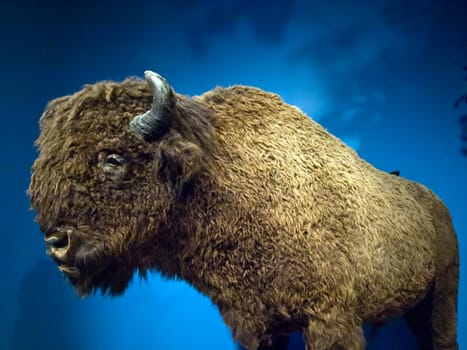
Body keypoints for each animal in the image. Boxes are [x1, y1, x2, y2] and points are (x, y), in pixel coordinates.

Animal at [29, 71, 460, 350]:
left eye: (113, 158)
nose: (57, 243)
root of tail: (435, 203)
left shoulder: (330, 318)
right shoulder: (256, 323)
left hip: (442, 298)